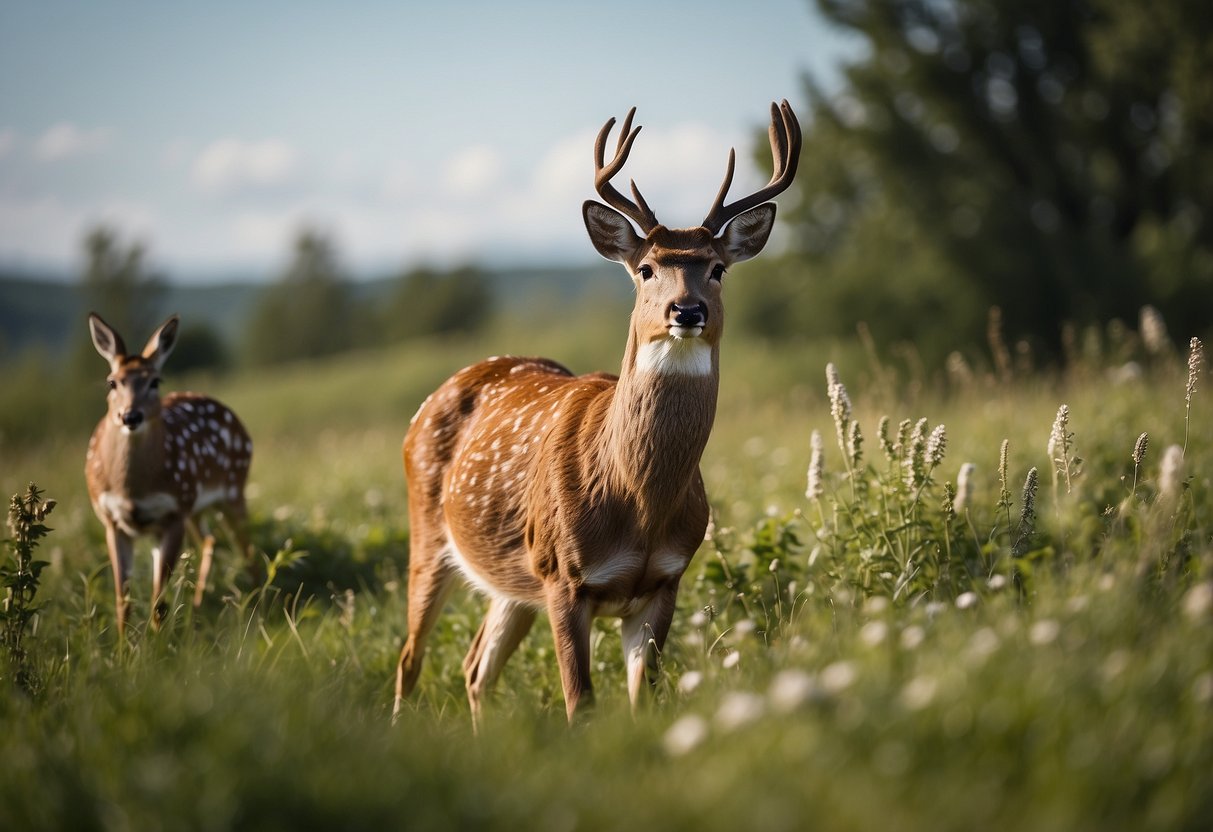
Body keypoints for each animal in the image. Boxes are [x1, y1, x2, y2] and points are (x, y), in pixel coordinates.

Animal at [86, 315, 258, 640]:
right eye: (112, 382)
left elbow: (159, 601)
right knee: (210, 540)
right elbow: (122, 600)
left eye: (155, 381)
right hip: (196, 506)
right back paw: (198, 607)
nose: (131, 416)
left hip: (232, 487)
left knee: (245, 543)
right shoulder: (110, 520)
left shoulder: (172, 512)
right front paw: (123, 647)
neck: (132, 490)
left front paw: (156, 646)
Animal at [393, 99, 800, 722]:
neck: (638, 503)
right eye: (646, 268)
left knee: (474, 667)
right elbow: (580, 703)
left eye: (718, 268)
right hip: (432, 537)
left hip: (513, 580)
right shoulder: (564, 576)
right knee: (410, 658)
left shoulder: (664, 582)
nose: (687, 310)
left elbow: (643, 700)